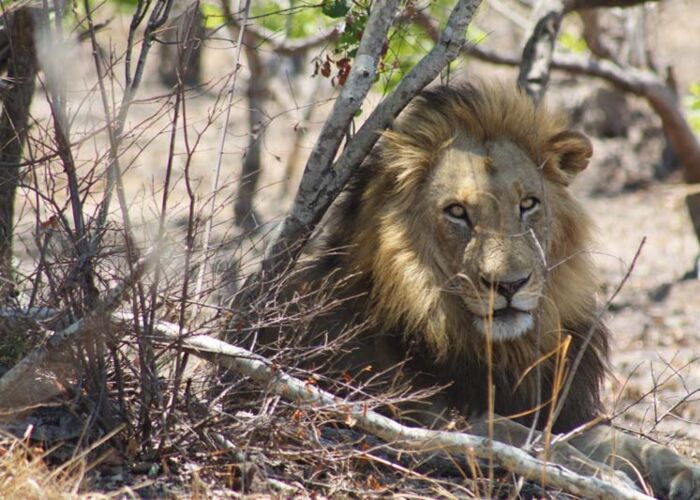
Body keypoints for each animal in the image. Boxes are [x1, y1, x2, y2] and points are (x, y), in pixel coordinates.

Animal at [262, 82, 700, 498]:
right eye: (457, 212)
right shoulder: (414, 422)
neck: (501, 352)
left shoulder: (562, 412)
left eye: (528, 204)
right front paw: (605, 477)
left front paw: (685, 472)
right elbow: (517, 434)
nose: (509, 285)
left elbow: (630, 442)